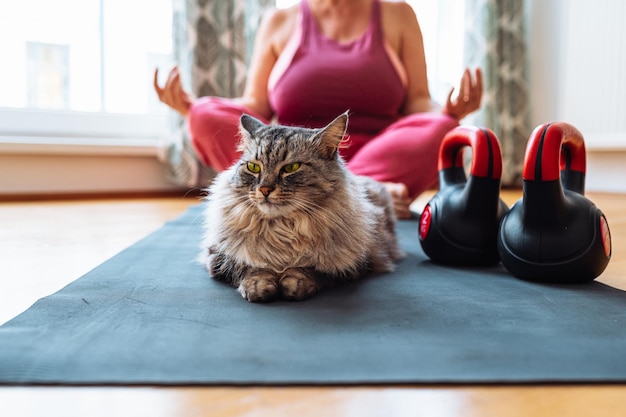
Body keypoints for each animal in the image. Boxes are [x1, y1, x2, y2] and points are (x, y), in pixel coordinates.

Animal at [201, 112, 404, 300]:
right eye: (253, 167)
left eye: (291, 168)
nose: (265, 189)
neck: (281, 229)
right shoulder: (218, 254)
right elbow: (250, 266)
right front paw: (259, 285)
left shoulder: (355, 263)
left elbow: (311, 268)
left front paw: (296, 283)